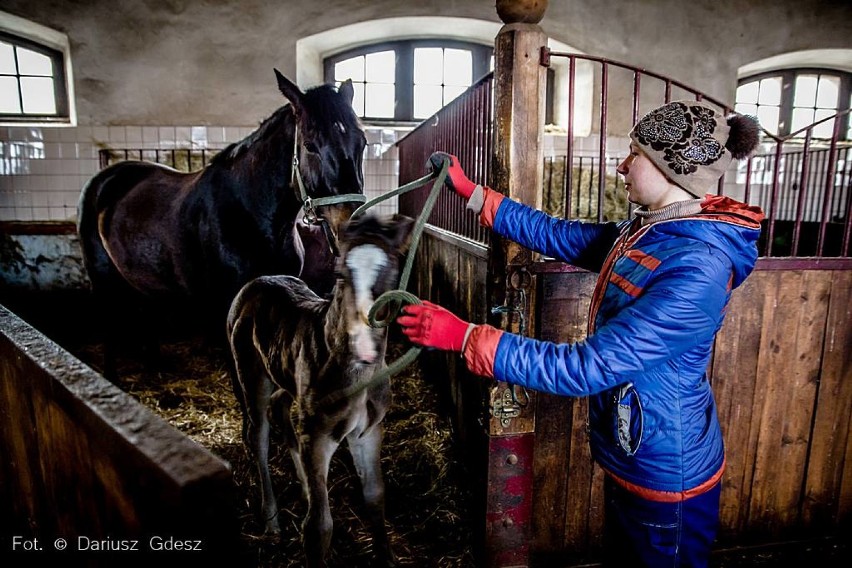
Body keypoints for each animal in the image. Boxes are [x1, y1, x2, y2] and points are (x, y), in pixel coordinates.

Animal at [75, 71, 364, 380]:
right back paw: (109, 376)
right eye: (310, 145)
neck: (248, 213)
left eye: (362, 143)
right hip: (101, 277)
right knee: (110, 322)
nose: (351, 225)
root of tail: (107, 178)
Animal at [226, 213, 412, 568]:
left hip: (286, 377)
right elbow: (318, 527)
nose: (363, 346)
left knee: (280, 410)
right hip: (252, 374)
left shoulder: (368, 431)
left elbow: (375, 498)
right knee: (258, 436)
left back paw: (303, 489)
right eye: (340, 274)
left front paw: (388, 558)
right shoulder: (319, 434)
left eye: (393, 273)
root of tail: (254, 285)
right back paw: (272, 520)